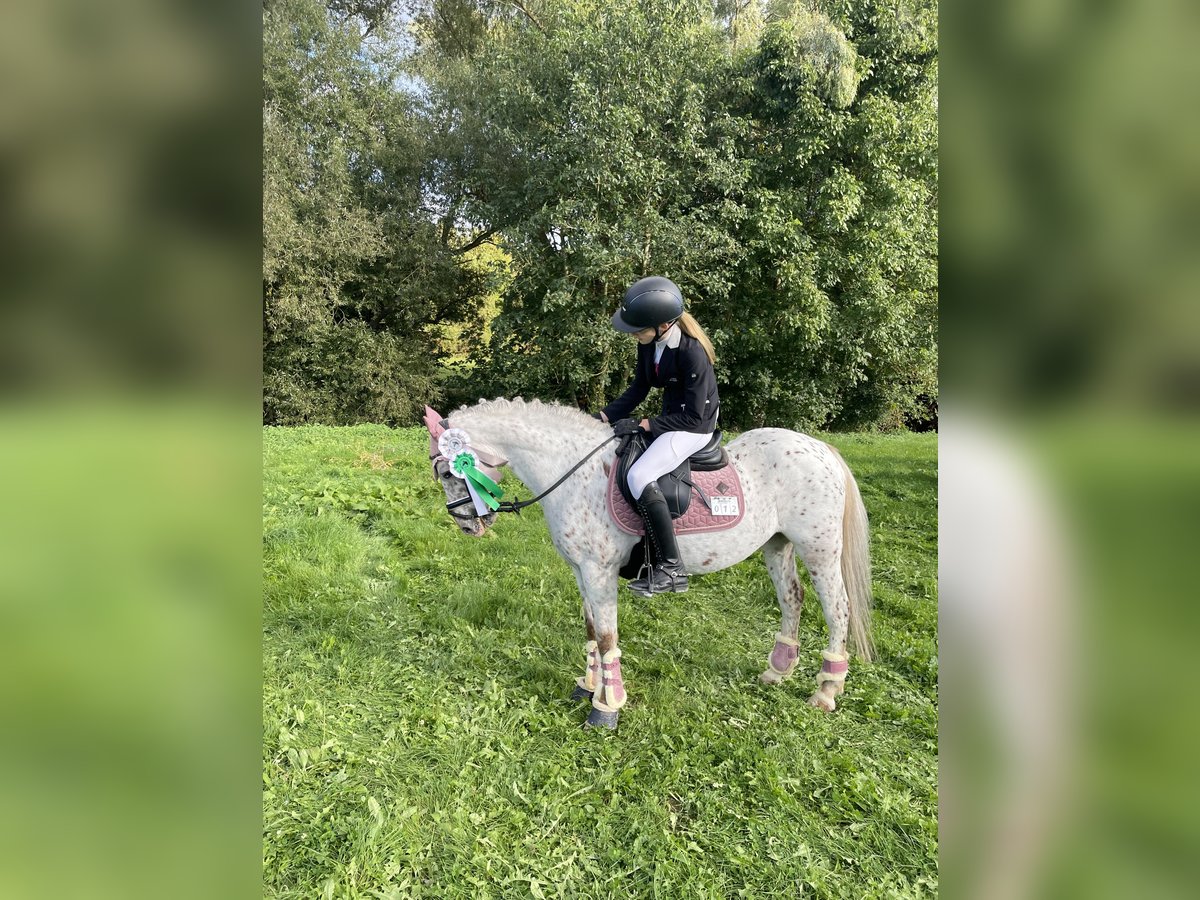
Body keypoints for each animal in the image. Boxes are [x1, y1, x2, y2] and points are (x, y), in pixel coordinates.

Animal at [429, 398, 873, 729]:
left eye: (447, 470)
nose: (466, 524)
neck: (574, 472)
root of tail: (820, 448)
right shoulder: (581, 571)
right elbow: (590, 629)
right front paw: (587, 686)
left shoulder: (599, 570)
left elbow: (606, 636)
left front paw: (606, 707)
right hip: (777, 546)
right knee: (792, 599)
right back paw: (778, 672)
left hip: (819, 549)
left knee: (837, 609)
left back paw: (825, 691)